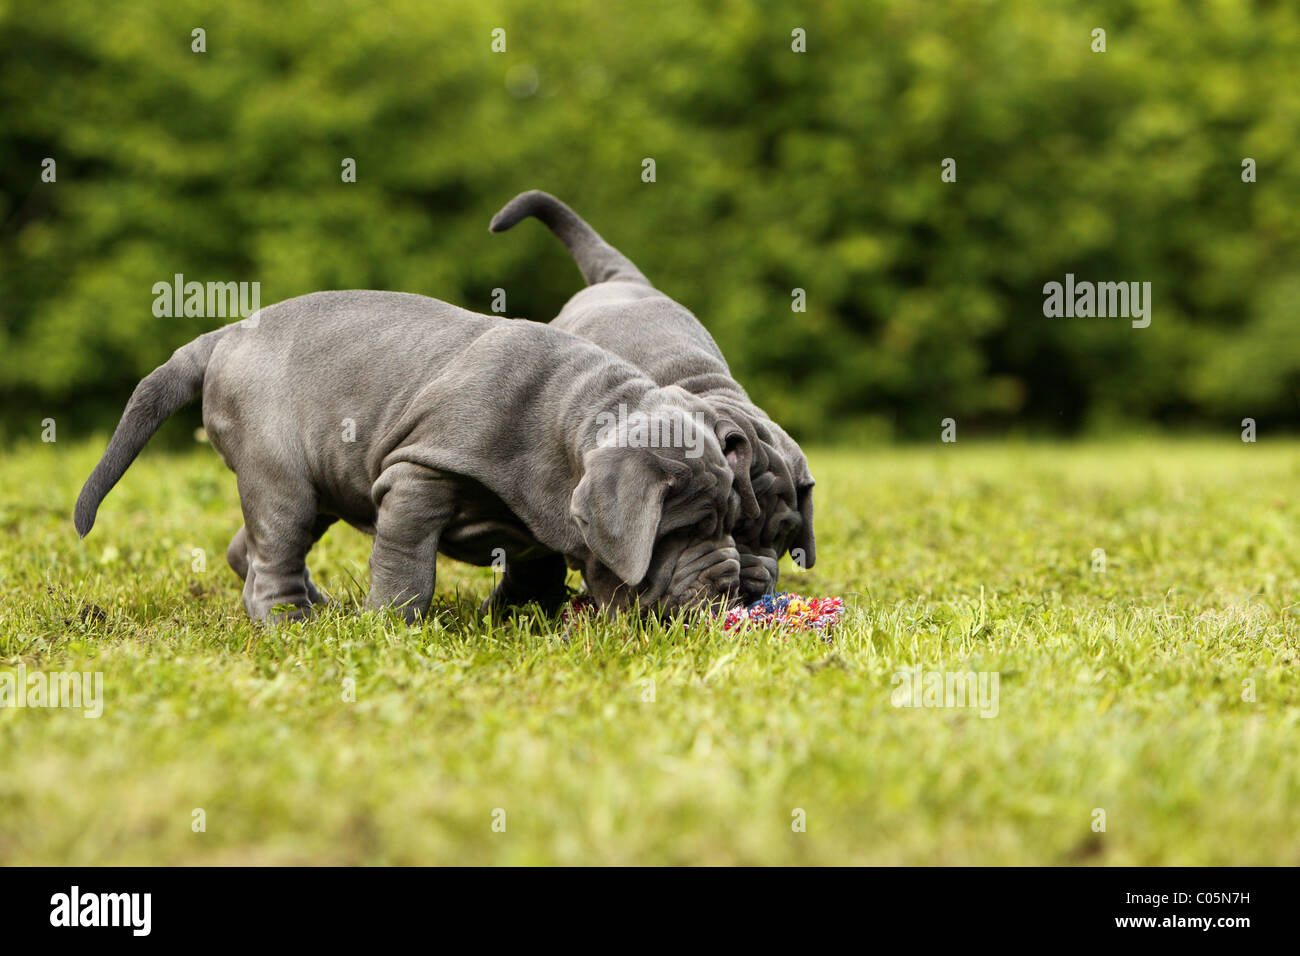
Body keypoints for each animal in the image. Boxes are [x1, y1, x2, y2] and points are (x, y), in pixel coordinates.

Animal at [76, 290, 748, 621]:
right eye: (676, 532)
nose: (727, 584)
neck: (575, 419)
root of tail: (220, 335)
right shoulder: (419, 474)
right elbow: (406, 564)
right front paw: (392, 626)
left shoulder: (540, 513)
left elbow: (535, 565)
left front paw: (522, 618)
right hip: (279, 472)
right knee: (275, 550)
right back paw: (293, 622)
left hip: (317, 484)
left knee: (253, 548)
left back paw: (322, 608)